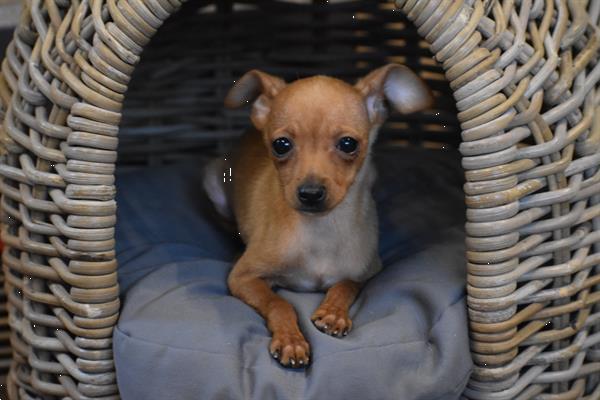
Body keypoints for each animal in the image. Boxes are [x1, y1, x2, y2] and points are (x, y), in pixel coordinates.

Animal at [205, 65, 432, 368]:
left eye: (348, 144)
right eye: (281, 145)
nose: (310, 193)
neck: (321, 231)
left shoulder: (368, 270)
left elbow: (345, 285)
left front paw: (334, 312)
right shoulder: (242, 278)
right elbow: (279, 302)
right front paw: (291, 340)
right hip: (212, 182)